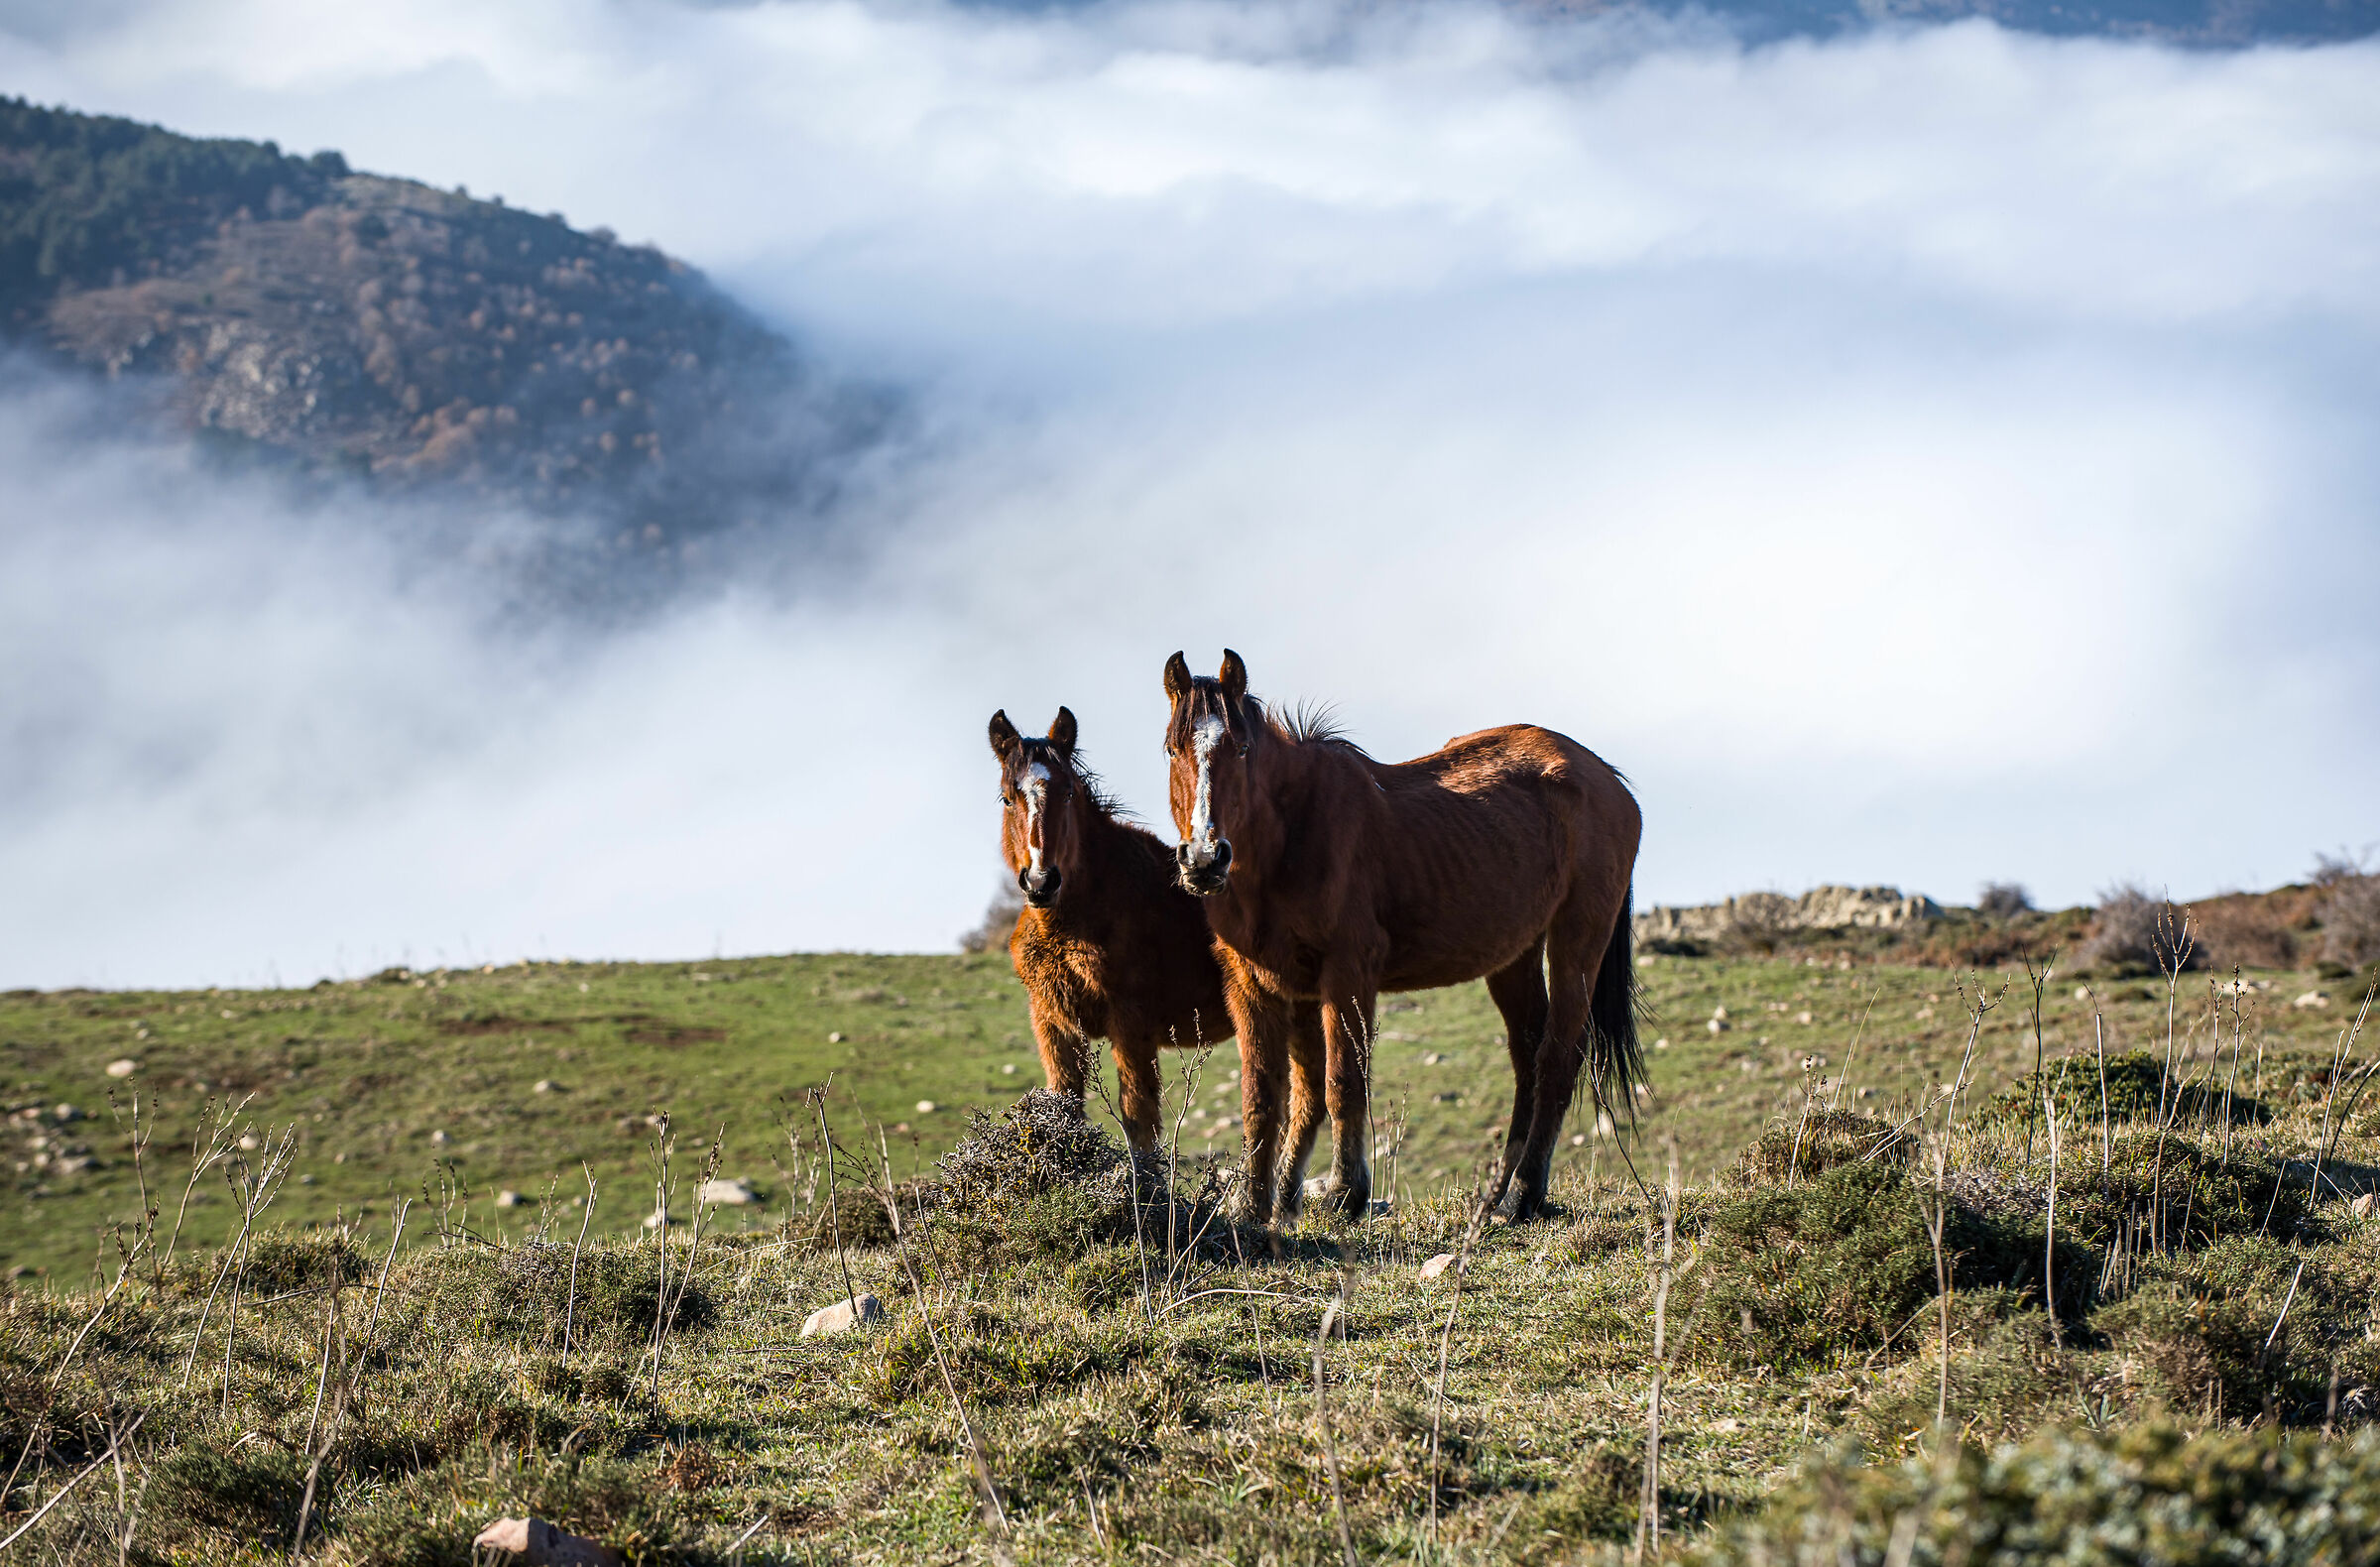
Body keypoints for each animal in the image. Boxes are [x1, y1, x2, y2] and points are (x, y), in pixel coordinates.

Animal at [990, 706, 1306, 1153]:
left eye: (1068, 794)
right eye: (1007, 797)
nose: (1040, 882)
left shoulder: (1130, 1025)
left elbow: (1139, 1123)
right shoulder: (1054, 1026)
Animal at [1160, 650, 1645, 1223]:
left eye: (1241, 747)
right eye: (1173, 748)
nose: (1204, 858)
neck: (1291, 835)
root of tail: (1610, 780)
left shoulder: (1347, 971)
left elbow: (1342, 1082)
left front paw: (1345, 1194)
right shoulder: (1256, 984)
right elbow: (1270, 1096)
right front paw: (1257, 1207)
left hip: (1579, 937)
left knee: (1556, 1060)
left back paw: (1522, 1196)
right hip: (1515, 957)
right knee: (1527, 1059)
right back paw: (1493, 1198)